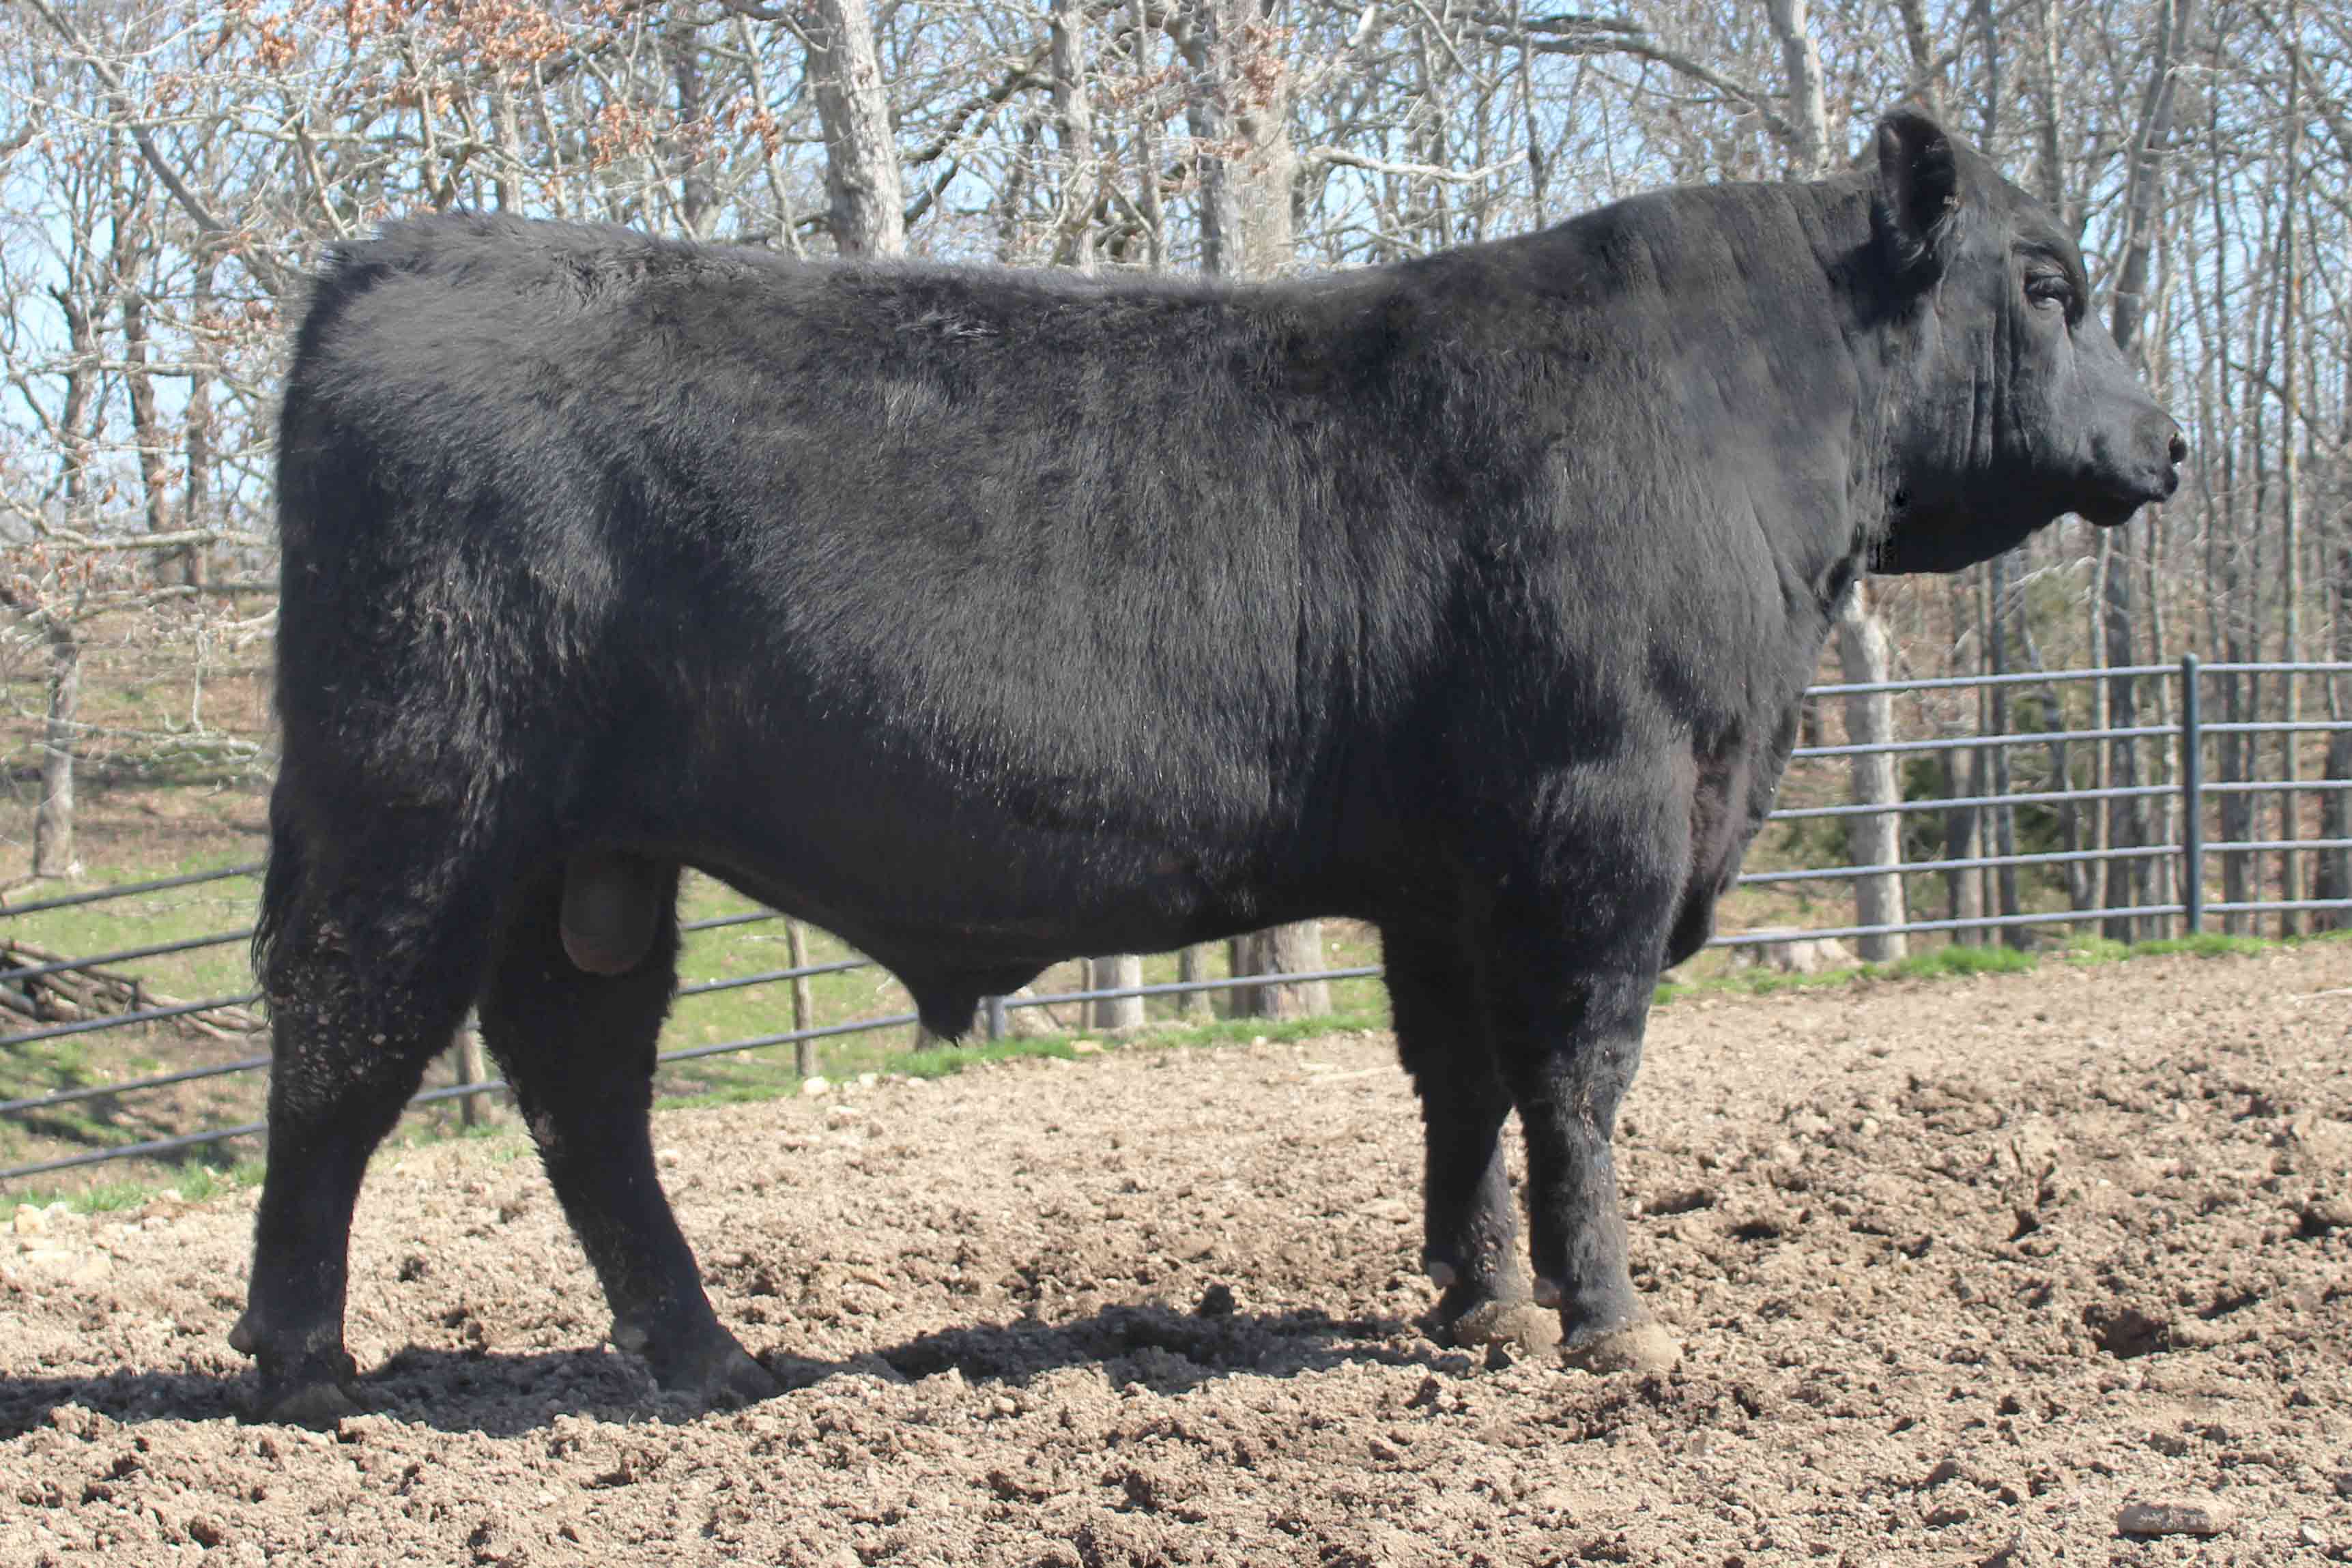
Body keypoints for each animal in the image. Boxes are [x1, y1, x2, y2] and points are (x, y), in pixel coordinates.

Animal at [235, 109, 2181, 1423]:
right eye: (2051, 283)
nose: (2166, 440)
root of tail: (405, 258)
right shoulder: (1598, 822)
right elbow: (1577, 1077)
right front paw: (1611, 1320)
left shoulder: (1444, 872)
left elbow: (1459, 1085)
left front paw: (1479, 1305)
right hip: (416, 793)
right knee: (343, 1040)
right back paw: (303, 1364)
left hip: (586, 856)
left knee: (579, 1075)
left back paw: (703, 1354)